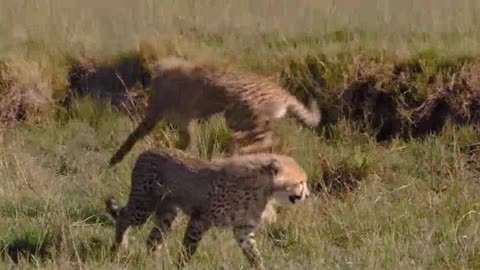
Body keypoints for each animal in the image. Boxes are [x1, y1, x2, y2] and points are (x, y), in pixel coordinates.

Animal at [104, 149, 312, 268]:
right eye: (301, 182)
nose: (308, 195)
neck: (263, 189)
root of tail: (147, 150)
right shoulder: (200, 219)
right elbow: (188, 249)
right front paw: (180, 266)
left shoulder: (243, 230)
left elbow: (254, 254)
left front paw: (261, 267)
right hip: (143, 206)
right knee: (123, 216)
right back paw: (119, 248)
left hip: (168, 213)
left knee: (152, 239)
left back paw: (152, 262)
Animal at [108, 58, 318, 166]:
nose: (124, 97)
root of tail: (283, 92)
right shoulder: (183, 121)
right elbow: (184, 142)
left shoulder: (159, 114)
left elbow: (133, 136)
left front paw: (116, 158)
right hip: (239, 118)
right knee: (268, 138)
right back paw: (237, 148)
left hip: (240, 113)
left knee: (268, 138)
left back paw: (237, 149)